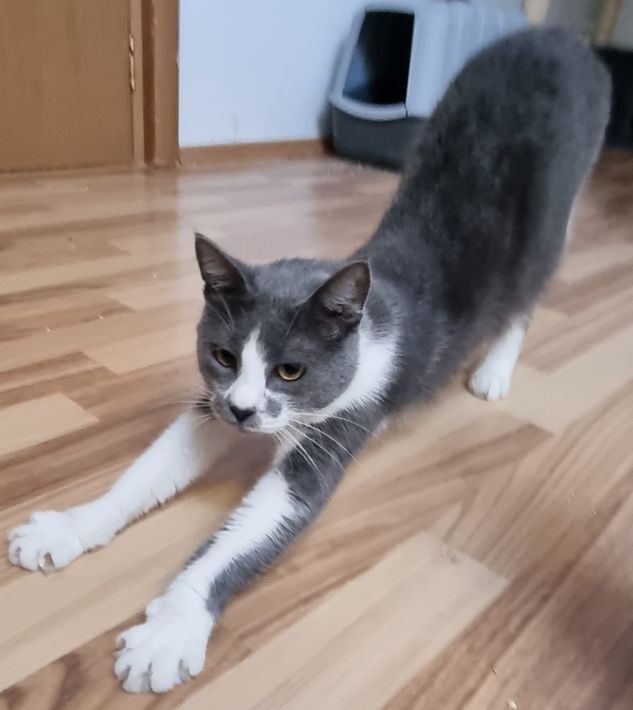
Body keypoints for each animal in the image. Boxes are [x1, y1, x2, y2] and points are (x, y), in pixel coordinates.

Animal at [8, 27, 610, 693]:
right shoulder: (213, 403)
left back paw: (494, 370)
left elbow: (263, 521)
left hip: (552, 217)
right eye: (223, 355)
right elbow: (151, 467)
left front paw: (172, 628)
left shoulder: (346, 415)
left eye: (290, 370)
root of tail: (556, 37)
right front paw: (68, 527)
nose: (245, 411)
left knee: (528, 292)